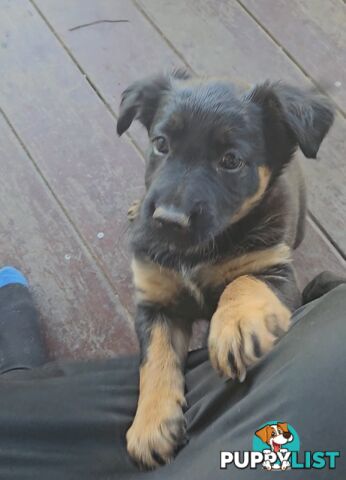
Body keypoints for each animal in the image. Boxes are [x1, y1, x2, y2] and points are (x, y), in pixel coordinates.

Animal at [117, 70, 336, 468]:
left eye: (231, 160)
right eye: (161, 144)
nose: (167, 221)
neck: (196, 252)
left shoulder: (278, 274)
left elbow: (243, 281)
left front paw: (235, 326)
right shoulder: (155, 302)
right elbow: (154, 359)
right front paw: (151, 424)